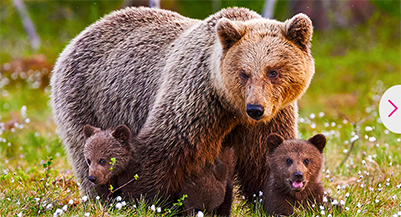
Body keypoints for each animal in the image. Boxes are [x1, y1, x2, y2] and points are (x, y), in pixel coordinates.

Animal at [50, 5, 314, 204]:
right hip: (87, 100)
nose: (256, 109)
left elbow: (265, 160)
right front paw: (146, 201)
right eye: (243, 73)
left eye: (273, 71)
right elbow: (162, 151)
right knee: (89, 154)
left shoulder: (270, 118)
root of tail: (80, 35)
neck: (230, 107)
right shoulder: (195, 100)